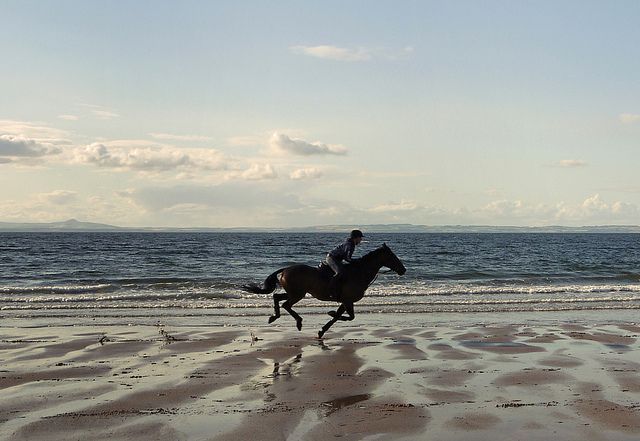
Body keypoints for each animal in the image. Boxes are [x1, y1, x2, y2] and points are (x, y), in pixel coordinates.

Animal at [240, 242, 404, 338]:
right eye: (392, 256)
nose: (404, 270)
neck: (359, 273)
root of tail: (285, 269)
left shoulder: (345, 302)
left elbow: (339, 317)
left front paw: (322, 330)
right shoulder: (348, 300)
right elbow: (347, 317)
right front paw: (329, 315)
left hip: (295, 293)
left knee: (277, 298)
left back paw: (274, 317)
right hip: (298, 294)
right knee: (286, 304)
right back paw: (298, 322)